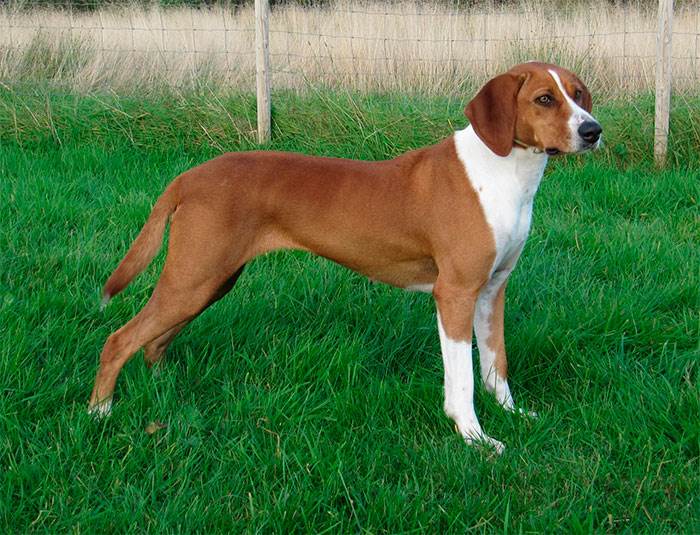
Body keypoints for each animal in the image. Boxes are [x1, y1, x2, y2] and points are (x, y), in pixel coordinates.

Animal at [89, 62, 601, 453]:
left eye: (578, 94)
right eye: (544, 99)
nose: (592, 130)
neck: (502, 172)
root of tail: (189, 177)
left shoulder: (492, 291)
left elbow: (497, 366)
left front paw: (514, 415)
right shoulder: (455, 293)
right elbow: (463, 380)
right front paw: (475, 438)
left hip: (209, 281)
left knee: (153, 342)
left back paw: (164, 393)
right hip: (193, 278)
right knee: (120, 339)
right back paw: (100, 413)